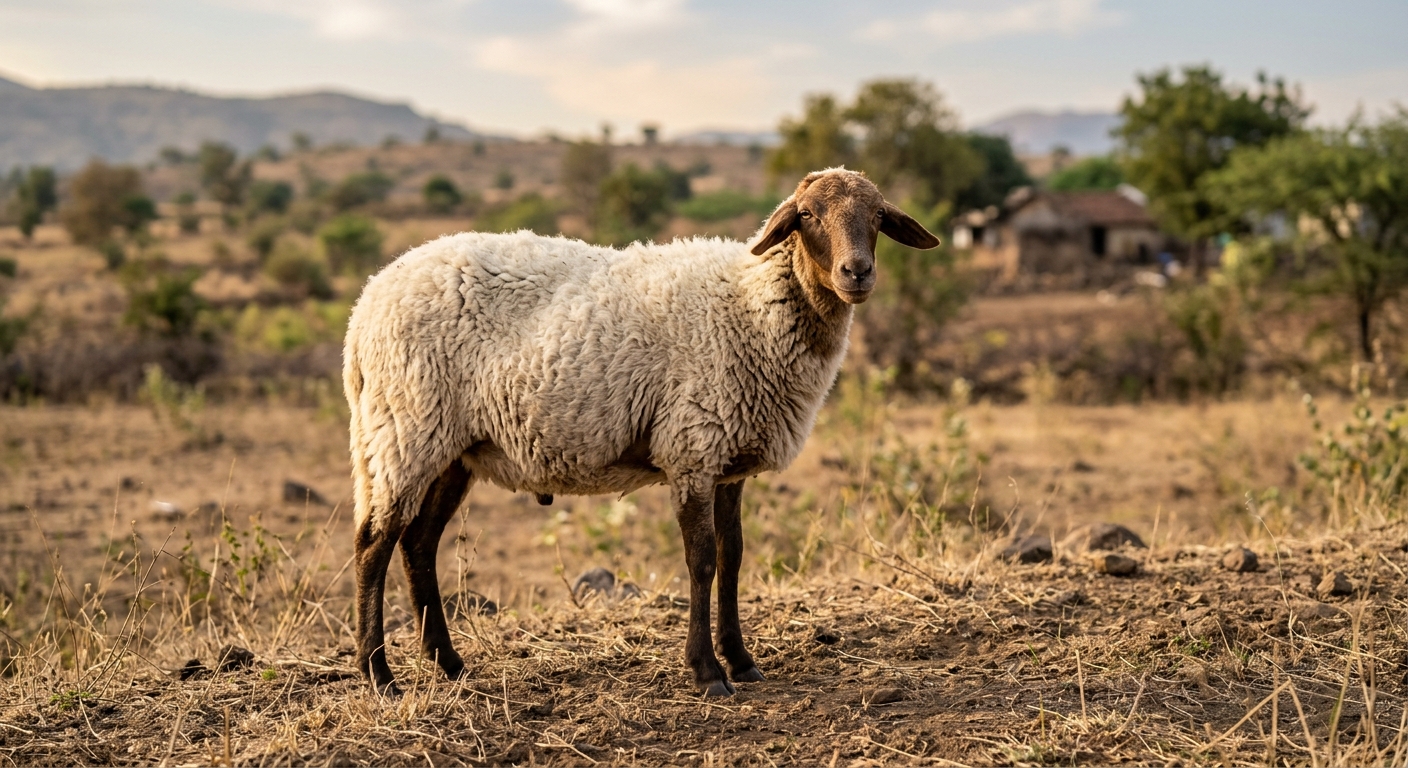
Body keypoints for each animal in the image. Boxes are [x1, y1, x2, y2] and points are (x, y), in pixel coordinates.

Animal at [344, 168, 940, 696]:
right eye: (809, 215)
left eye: (878, 217)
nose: (856, 273)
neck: (751, 303)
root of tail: (367, 300)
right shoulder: (692, 447)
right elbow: (701, 562)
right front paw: (707, 672)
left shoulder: (729, 461)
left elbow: (733, 557)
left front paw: (742, 661)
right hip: (403, 428)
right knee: (374, 543)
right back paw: (380, 676)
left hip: (453, 448)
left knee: (418, 544)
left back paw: (449, 665)